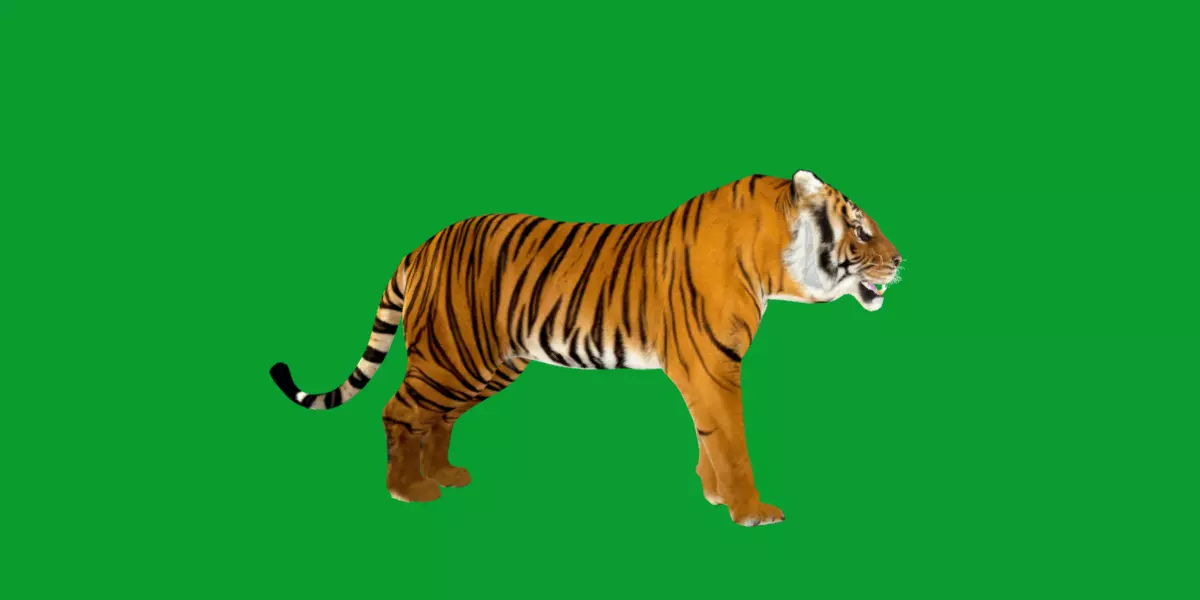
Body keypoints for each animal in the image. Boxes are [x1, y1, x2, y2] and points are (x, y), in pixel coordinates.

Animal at [269, 169, 902, 527]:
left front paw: (714, 497)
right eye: (860, 229)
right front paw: (750, 512)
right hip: (451, 357)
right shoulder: (712, 366)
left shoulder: (705, 372)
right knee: (399, 410)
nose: (901, 261)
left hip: (483, 366)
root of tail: (422, 245)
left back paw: (445, 474)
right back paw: (409, 491)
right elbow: (731, 442)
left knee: (436, 417)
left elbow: (709, 439)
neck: (773, 262)